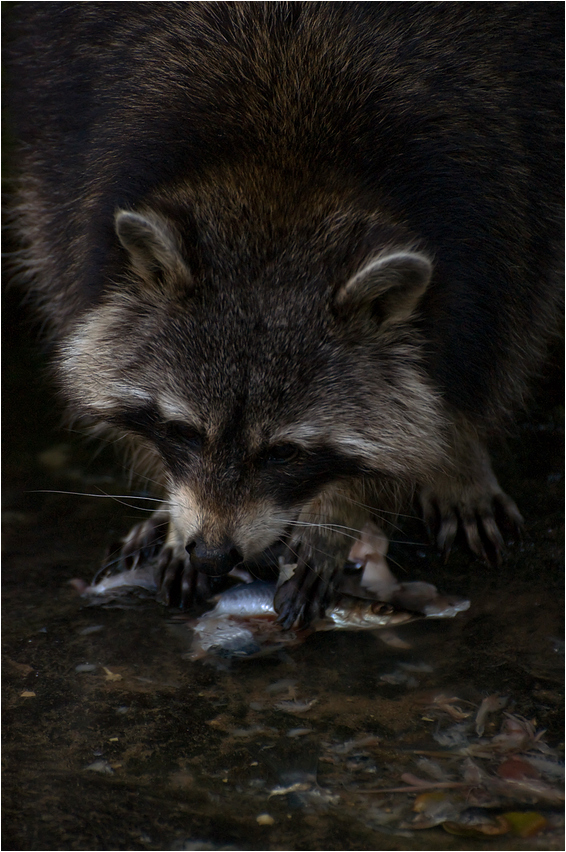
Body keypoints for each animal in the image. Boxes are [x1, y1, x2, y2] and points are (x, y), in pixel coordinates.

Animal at [6, 1, 564, 624]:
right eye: (182, 431)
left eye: (283, 453)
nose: (214, 552)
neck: (283, 169)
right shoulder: (76, 178)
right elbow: (78, 306)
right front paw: (171, 508)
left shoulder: (504, 192)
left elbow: (487, 344)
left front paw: (343, 511)